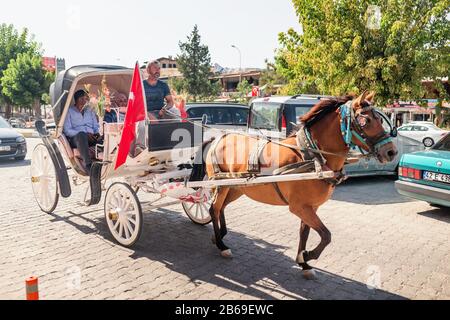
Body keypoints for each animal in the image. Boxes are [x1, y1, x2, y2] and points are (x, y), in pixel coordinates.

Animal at [204, 92, 398, 278]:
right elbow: (326, 235)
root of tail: (220, 137)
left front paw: (304, 263)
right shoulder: (299, 207)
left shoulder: (311, 207)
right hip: (221, 185)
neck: (313, 157)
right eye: (366, 121)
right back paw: (222, 245)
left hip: (236, 187)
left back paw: (219, 235)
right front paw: (308, 255)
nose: (391, 151)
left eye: (380, 119)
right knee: (213, 208)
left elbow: (305, 233)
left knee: (221, 208)